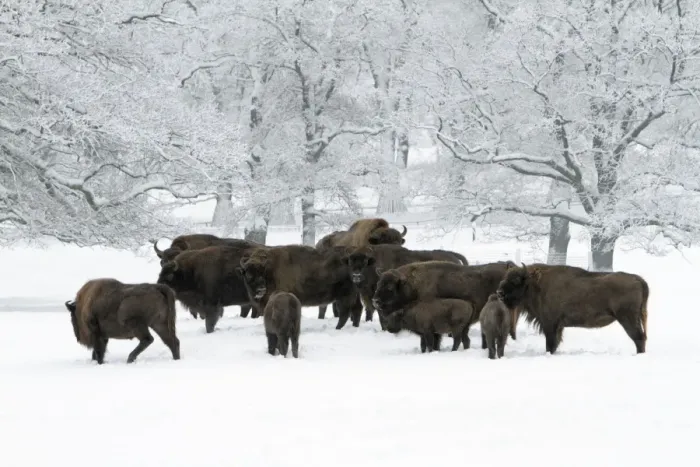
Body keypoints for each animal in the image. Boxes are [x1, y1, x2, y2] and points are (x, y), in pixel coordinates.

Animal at [496, 263, 649, 354]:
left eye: (516, 280)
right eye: (505, 277)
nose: (499, 293)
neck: (535, 284)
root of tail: (639, 280)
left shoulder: (550, 324)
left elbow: (550, 344)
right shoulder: (557, 327)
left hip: (627, 319)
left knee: (639, 338)